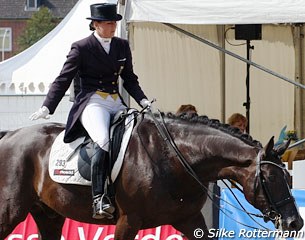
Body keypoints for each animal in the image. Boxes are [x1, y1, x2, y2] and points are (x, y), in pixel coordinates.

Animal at [0, 111, 302, 239]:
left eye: (288, 179)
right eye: (270, 179)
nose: (295, 223)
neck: (174, 158)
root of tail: (10, 135)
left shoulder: (189, 218)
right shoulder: (128, 221)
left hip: (48, 214)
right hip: (11, 211)